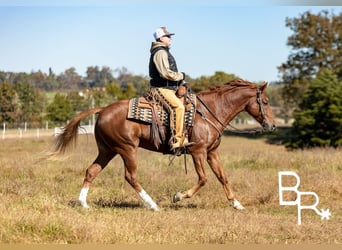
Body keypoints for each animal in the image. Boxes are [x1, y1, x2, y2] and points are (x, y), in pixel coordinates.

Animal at [54, 78, 276, 211]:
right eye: (265, 101)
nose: (272, 125)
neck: (211, 110)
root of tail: (103, 110)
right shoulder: (198, 152)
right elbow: (203, 179)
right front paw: (178, 196)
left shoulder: (212, 152)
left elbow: (223, 177)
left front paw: (237, 204)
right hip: (127, 149)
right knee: (131, 176)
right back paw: (153, 205)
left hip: (107, 150)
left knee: (91, 171)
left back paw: (83, 203)